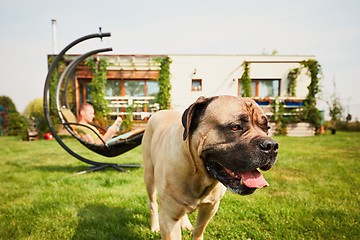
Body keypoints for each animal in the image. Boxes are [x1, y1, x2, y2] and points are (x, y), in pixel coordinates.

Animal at [141, 96, 278, 240]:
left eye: (266, 128)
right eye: (235, 127)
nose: (271, 146)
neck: (197, 173)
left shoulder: (210, 207)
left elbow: (199, 230)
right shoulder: (168, 217)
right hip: (149, 177)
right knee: (152, 203)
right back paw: (155, 226)